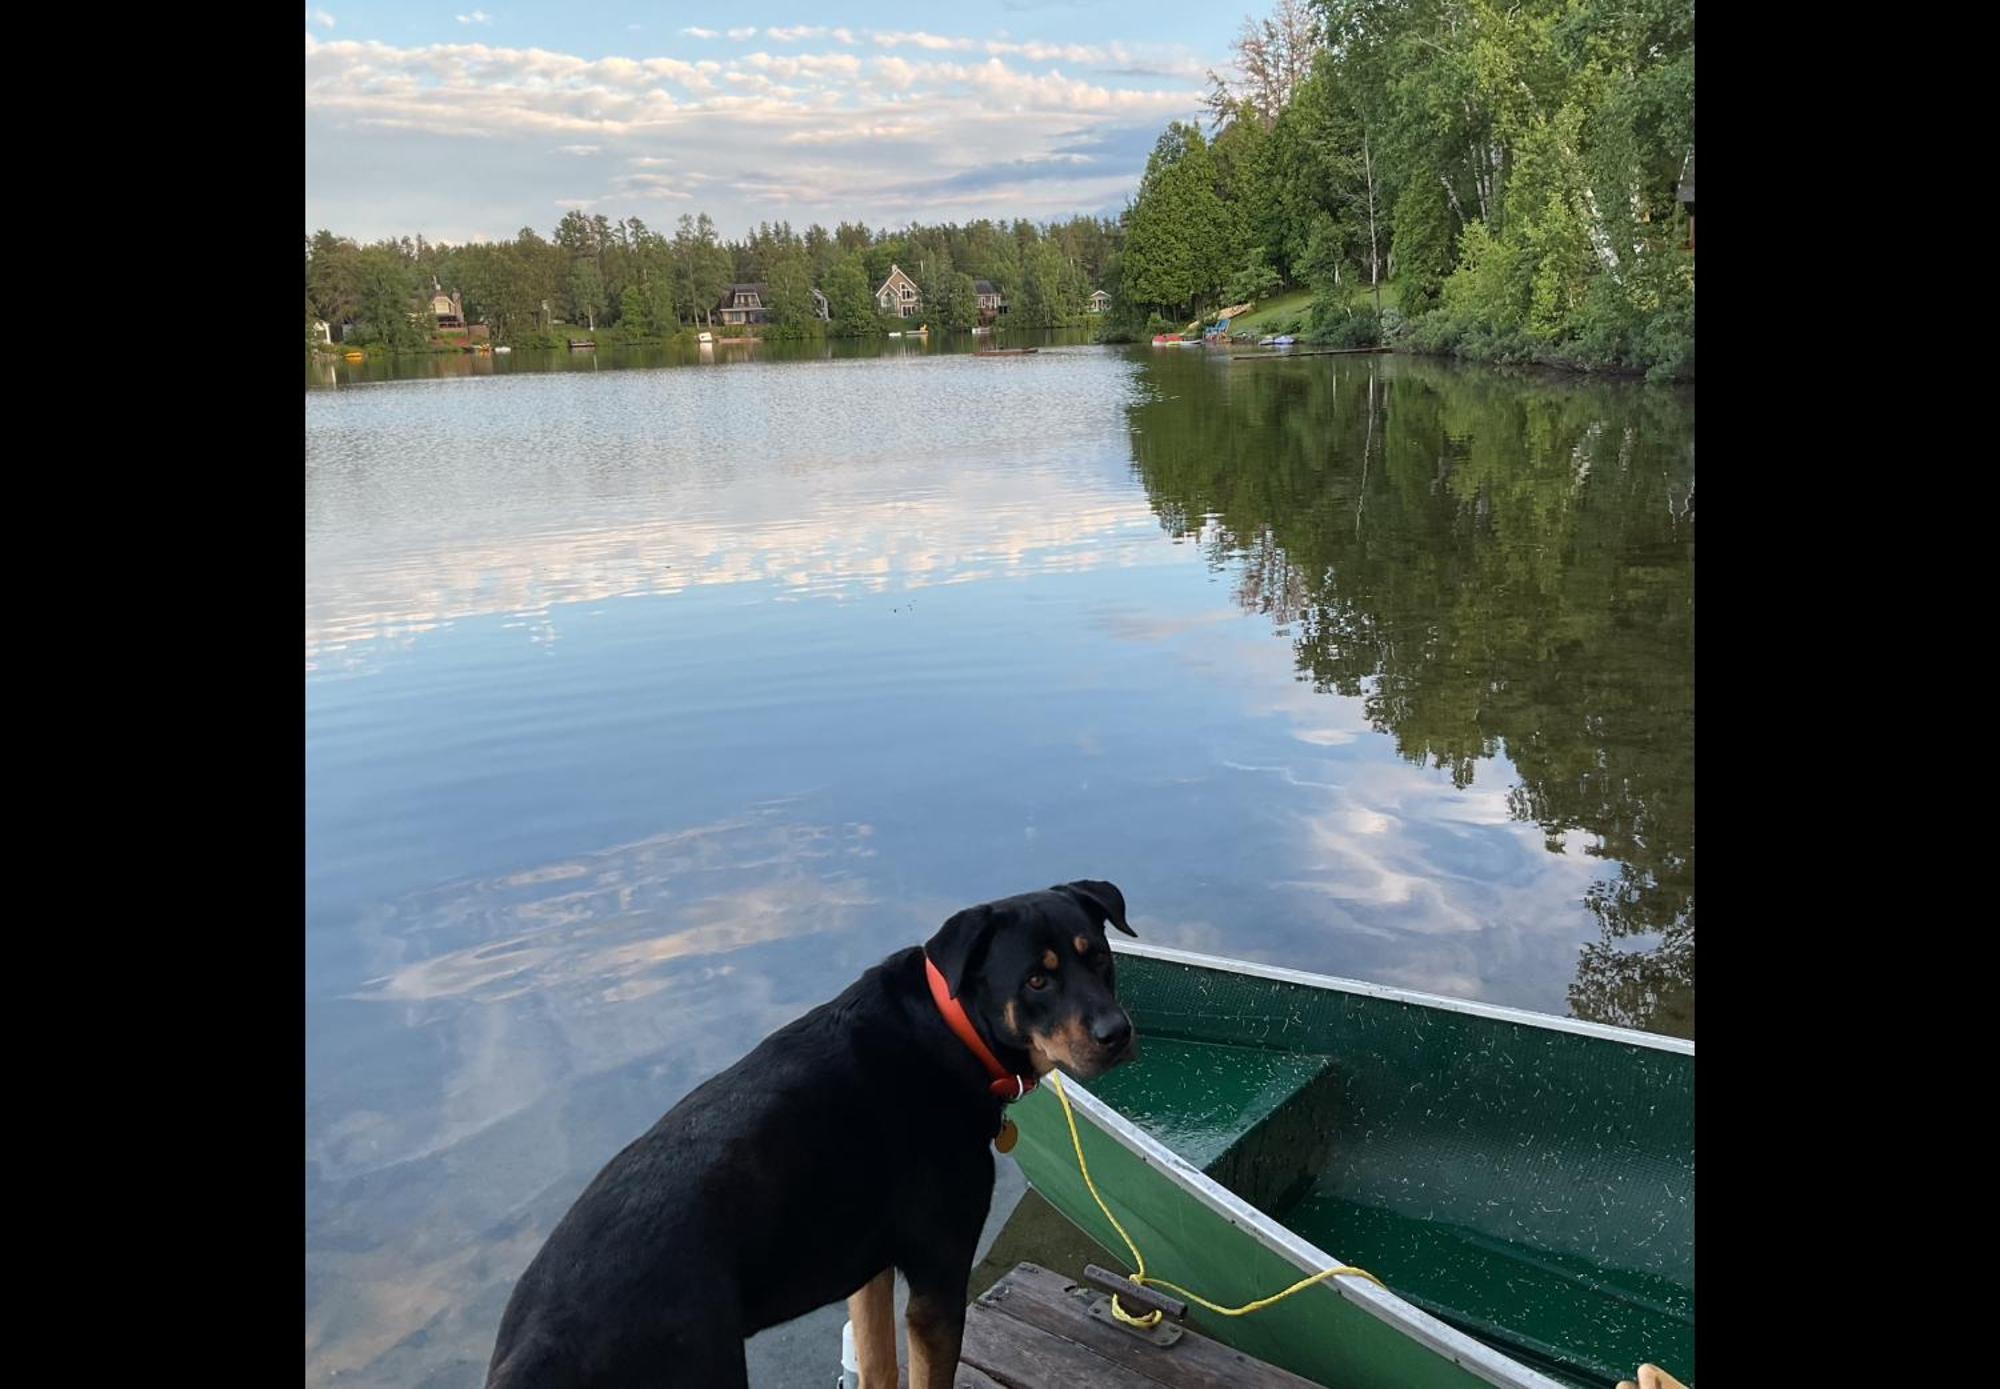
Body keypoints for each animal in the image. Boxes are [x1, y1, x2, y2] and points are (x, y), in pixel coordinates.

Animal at [488, 880, 1144, 1389]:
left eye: (1099, 957)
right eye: (1036, 980)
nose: (1117, 1033)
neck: (949, 1030)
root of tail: (529, 1351)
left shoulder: (871, 1269)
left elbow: (879, 1366)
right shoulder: (939, 1274)